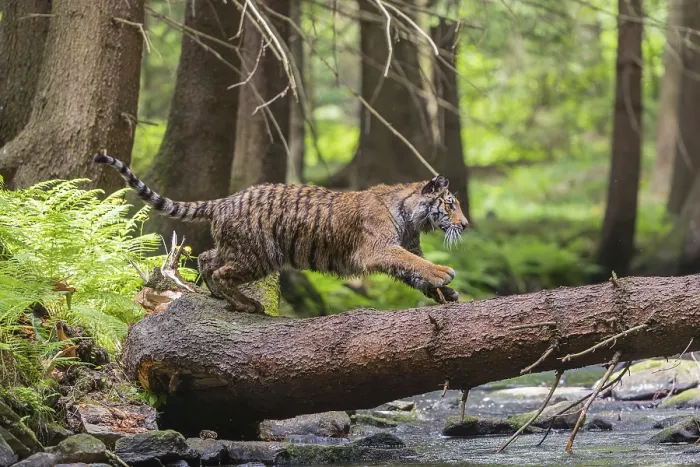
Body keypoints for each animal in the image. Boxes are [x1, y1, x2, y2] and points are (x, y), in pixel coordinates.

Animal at [92, 153, 469, 314]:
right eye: (450, 205)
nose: (465, 225)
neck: (412, 218)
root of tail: (225, 200)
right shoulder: (378, 248)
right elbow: (414, 264)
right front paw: (444, 273)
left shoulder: (401, 249)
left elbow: (413, 270)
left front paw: (446, 293)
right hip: (261, 255)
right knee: (222, 271)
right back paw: (245, 304)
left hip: (237, 248)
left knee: (207, 258)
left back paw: (217, 295)